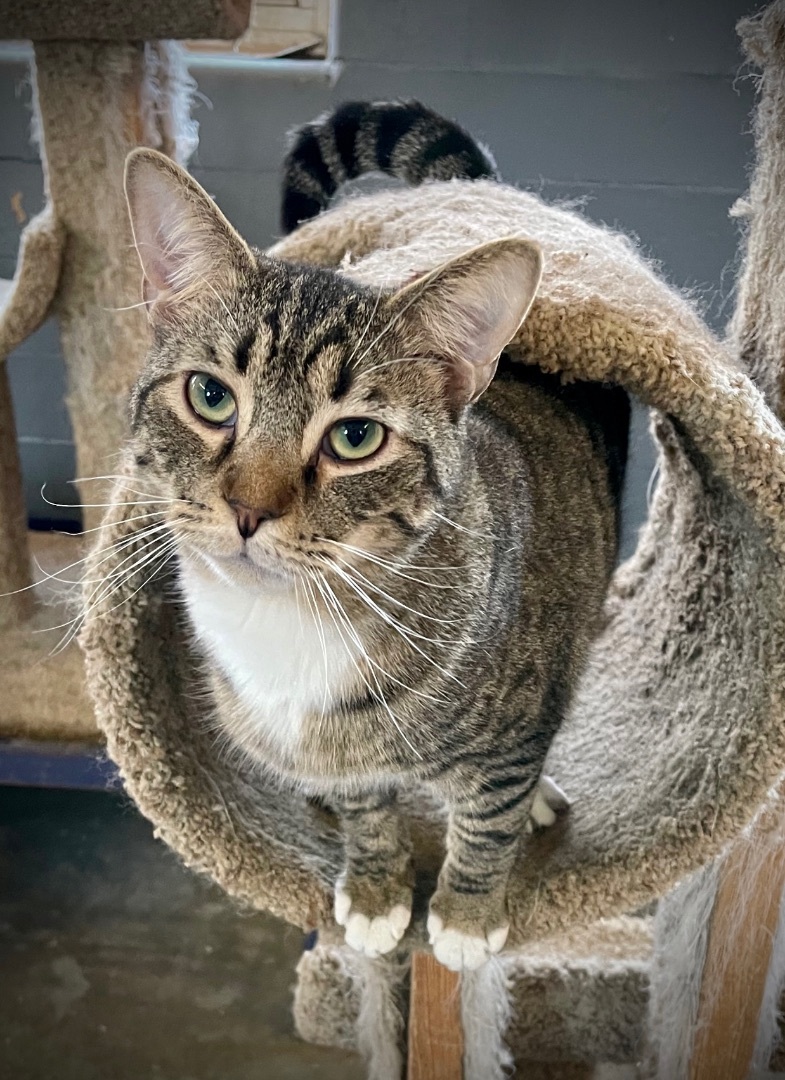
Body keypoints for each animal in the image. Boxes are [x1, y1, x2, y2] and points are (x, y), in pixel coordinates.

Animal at [123, 101, 630, 976]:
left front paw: (464, 914)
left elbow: (488, 814)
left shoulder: (515, 717)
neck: (288, 622)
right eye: (210, 397)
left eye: (355, 437)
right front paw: (374, 889)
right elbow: (366, 808)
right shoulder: (342, 755)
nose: (248, 509)